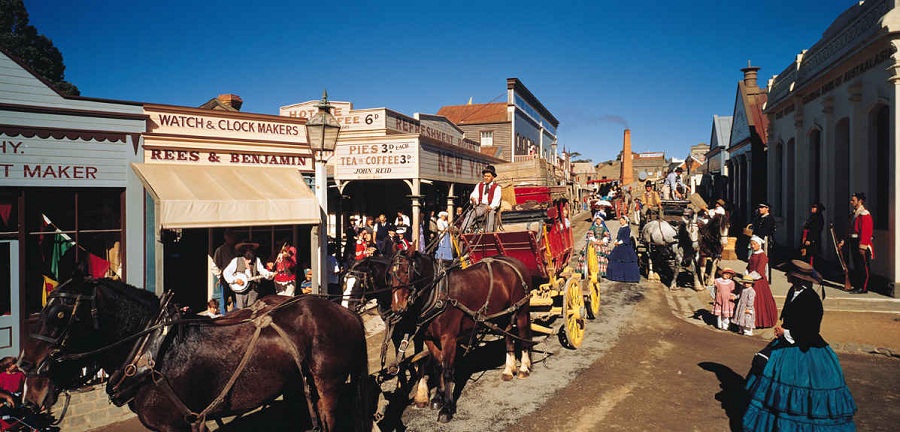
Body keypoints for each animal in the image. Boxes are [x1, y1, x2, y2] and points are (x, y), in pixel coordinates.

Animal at [21, 276, 372, 432]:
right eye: (43, 308)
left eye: (61, 313)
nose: (26, 364)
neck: (154, 353)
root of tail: (345, 311)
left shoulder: (177, 425)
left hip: (329, 383)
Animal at [388, 251, 532, 424]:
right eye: (390, 275)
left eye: (405, 272)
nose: (397, 308)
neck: (438, 293)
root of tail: (515, 262)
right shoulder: (429, 339)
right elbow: (438, 366)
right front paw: (438, 398)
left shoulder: (449, 338)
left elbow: (447, 370)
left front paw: (447, 408)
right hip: (504, 314)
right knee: (508, 337)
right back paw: (509, 370)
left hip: (521, 311)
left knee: (523, 337)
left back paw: (524, 368)